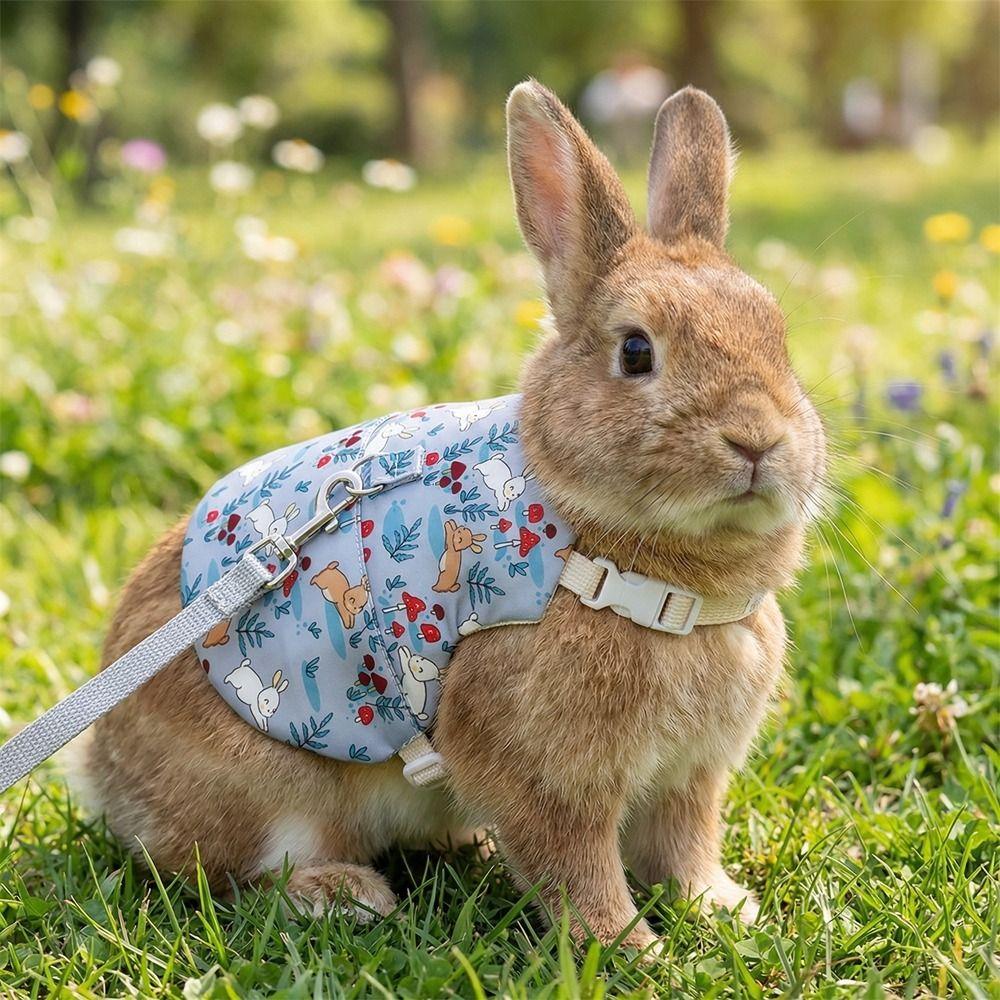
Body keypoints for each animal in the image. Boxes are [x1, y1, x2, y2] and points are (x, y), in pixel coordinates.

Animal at [82, 82, 825, 947]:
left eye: (779, 338)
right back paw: (345, 894)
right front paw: (626, 947)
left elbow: (685, 845)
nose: (758, 438)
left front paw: (726, 910)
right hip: (275, 792)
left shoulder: (690, 776)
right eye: (636, 352)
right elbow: (576, 863)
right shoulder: (546, 771)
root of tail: (102, 776)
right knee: (233, 876)